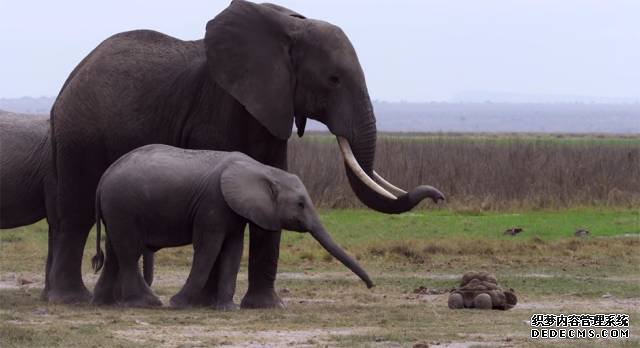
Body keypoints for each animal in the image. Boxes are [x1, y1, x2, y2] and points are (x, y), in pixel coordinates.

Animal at [92, 143, 372, 308]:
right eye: (301, 204)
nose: (371, 286)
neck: (263, 170)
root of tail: (103, 177)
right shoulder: (212, 204)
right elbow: (208, 249)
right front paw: (177, 303)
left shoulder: (233, 209)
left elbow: (233, 250)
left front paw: (228, 308)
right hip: (123, 205)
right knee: (129, 251)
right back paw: (149, 303)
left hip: (117, 209)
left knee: (116, 251)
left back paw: (103, 303)